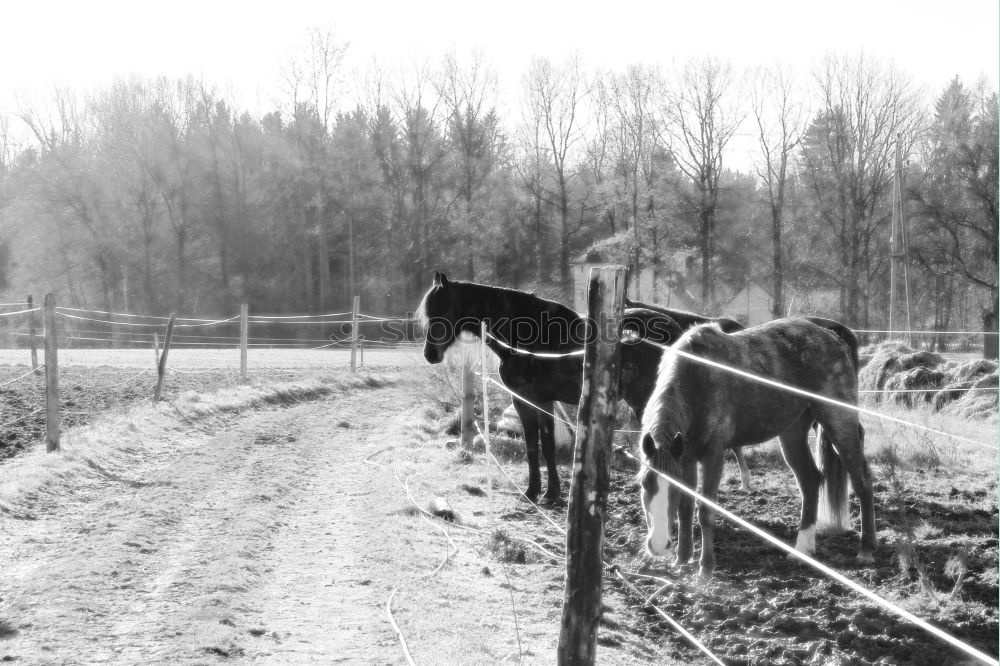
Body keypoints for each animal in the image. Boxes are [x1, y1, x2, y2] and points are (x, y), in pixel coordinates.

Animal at [418, 268, 684, 498]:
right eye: (429, 312)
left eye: (444, 309)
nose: (430, 354)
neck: (529, 337)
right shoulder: (539, 402)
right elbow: (540, 446)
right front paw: (544, 491)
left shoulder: (528, 401)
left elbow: (539, 446)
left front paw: (541, 492)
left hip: (643, 401)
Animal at [640, 316, 876, 576]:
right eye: (643, 483)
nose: (658, 545)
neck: (697, 379)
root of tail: (832, 336)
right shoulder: (686, 457)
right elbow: (685, 508)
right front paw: (682, 560)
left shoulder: (713, 456)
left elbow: (705, 512)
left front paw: (705, 568)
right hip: (792, 432)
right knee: (810, 481)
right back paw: (802, 549)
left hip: (838, 422)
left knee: (861, 480)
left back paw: (866, 550)